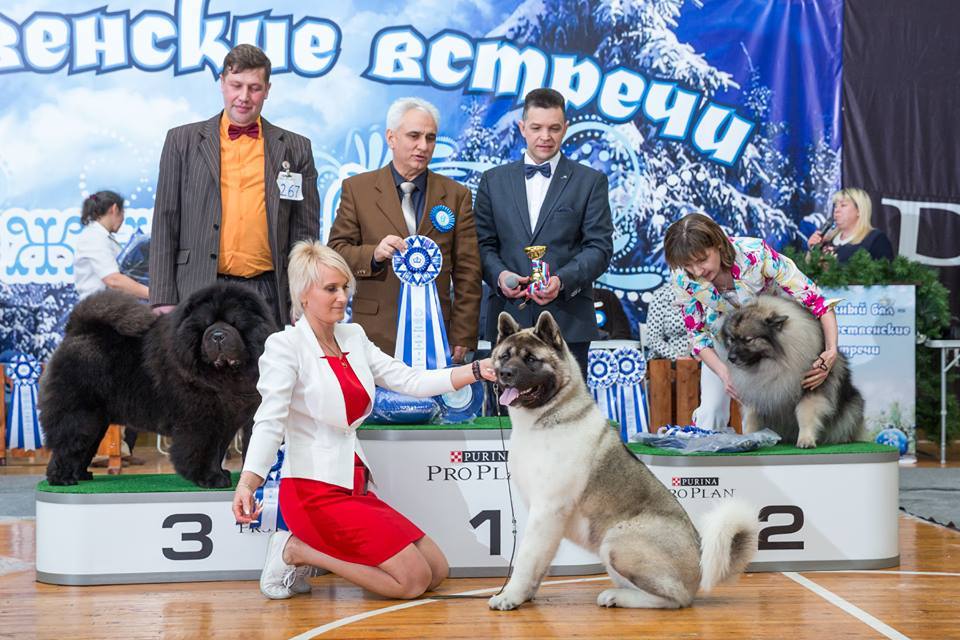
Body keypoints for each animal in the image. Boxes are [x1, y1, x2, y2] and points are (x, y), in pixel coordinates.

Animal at [489, 311, 758, 610]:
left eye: (531, 359)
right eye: (504, 356)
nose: (505, 373)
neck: (550, 415)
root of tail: (699, 561)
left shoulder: (547, 510)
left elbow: (526, 559)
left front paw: (510, 596)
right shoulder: (546, 521)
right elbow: (538, 561)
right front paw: (525, 594)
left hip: (615, 541)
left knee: (674, 598)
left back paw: (616, 596)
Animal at [717, 295, 865, 448]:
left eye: (748, 340)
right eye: (732, 339)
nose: (731, 358)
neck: (776, 361)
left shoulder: (811, 390)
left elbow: (805, 414)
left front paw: (806, 439)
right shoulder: (757, 393)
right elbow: (750, 417)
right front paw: (748, 437)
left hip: (853, 405)